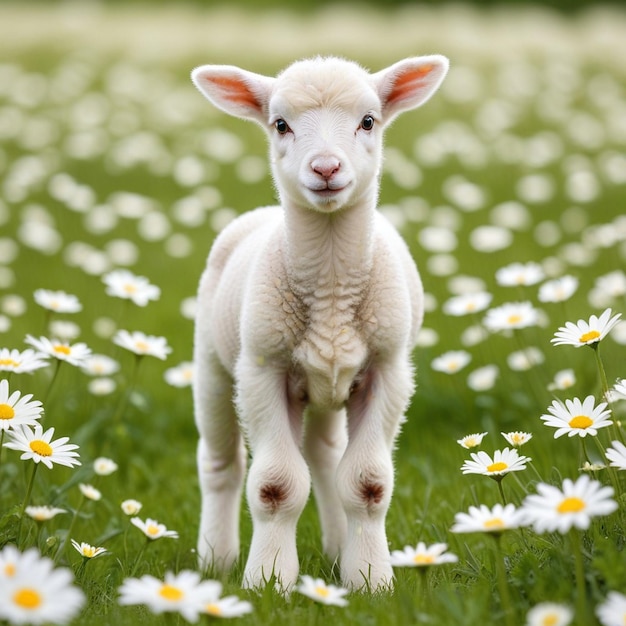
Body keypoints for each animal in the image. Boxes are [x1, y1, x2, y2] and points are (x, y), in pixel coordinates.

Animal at [188, 54, 446, 588]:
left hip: (329, 383)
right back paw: (215, 559)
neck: (329, 288)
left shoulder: (388, 370)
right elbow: (275, 486)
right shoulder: (262, 371)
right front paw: (268, 581)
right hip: (213, 364)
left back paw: (336, 547)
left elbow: (367, 484)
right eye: (280, 124)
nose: (326, 167)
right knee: (222, 465)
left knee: (326, 456)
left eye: (368, 121)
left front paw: (369, 579)